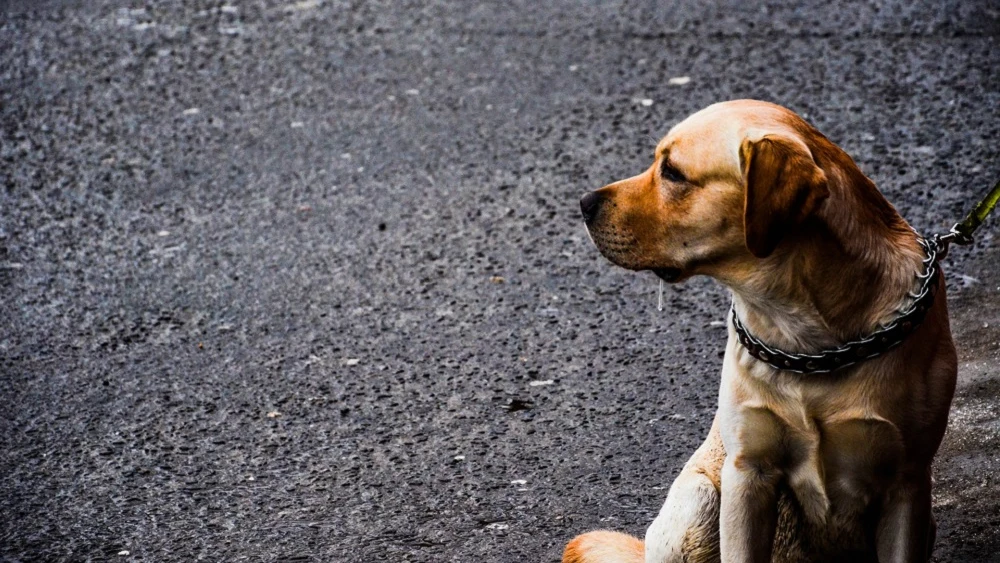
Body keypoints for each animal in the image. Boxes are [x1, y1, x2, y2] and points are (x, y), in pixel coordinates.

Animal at [568, 101, 956, 563]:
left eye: (673, 173)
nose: (584, 203)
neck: (807, 342)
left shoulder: (907, 485)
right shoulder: (747, 473)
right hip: (698, 500)